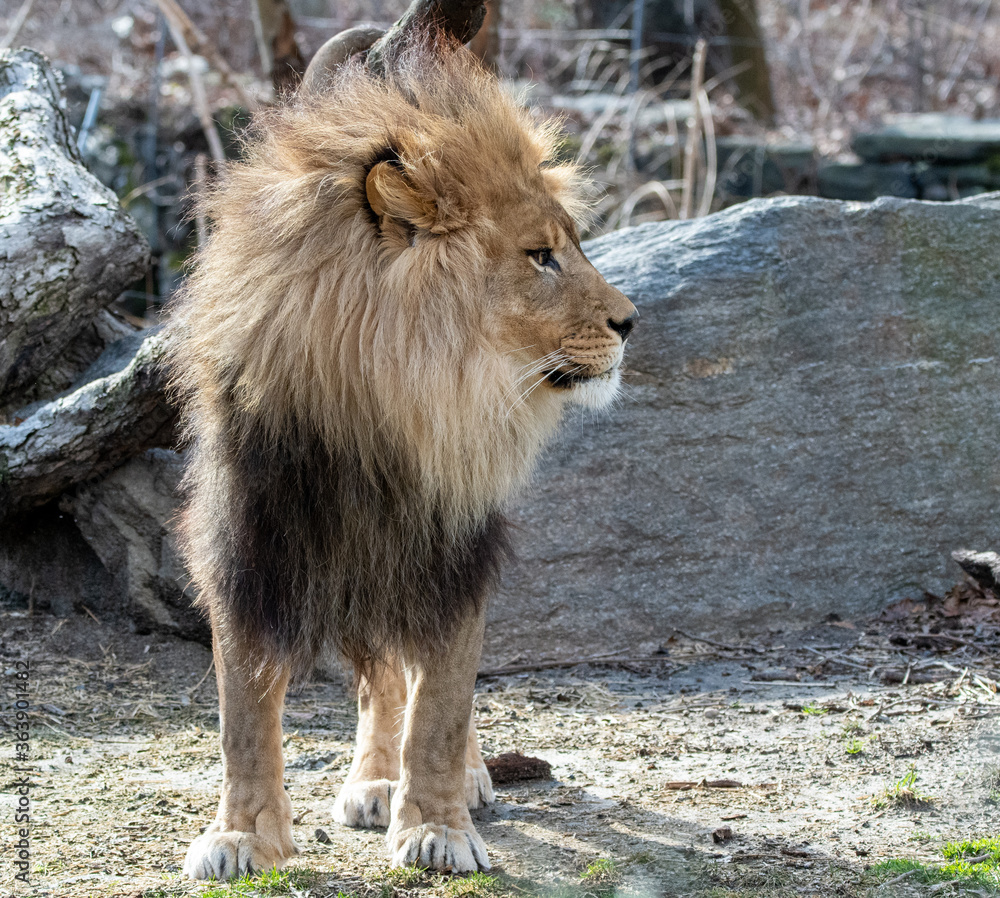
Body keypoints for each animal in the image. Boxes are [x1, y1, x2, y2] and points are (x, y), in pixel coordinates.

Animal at [168, 41, 636, 879]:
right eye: (541, 257)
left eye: (570, 247)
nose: (632, 321)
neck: (378, 419)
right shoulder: (251, 545)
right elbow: (243, 719)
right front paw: (242, 836)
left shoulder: (453, 552)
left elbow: (442, 707)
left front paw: (437, 829)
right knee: (381, 680)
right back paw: (376, 779)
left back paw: (463, 780)